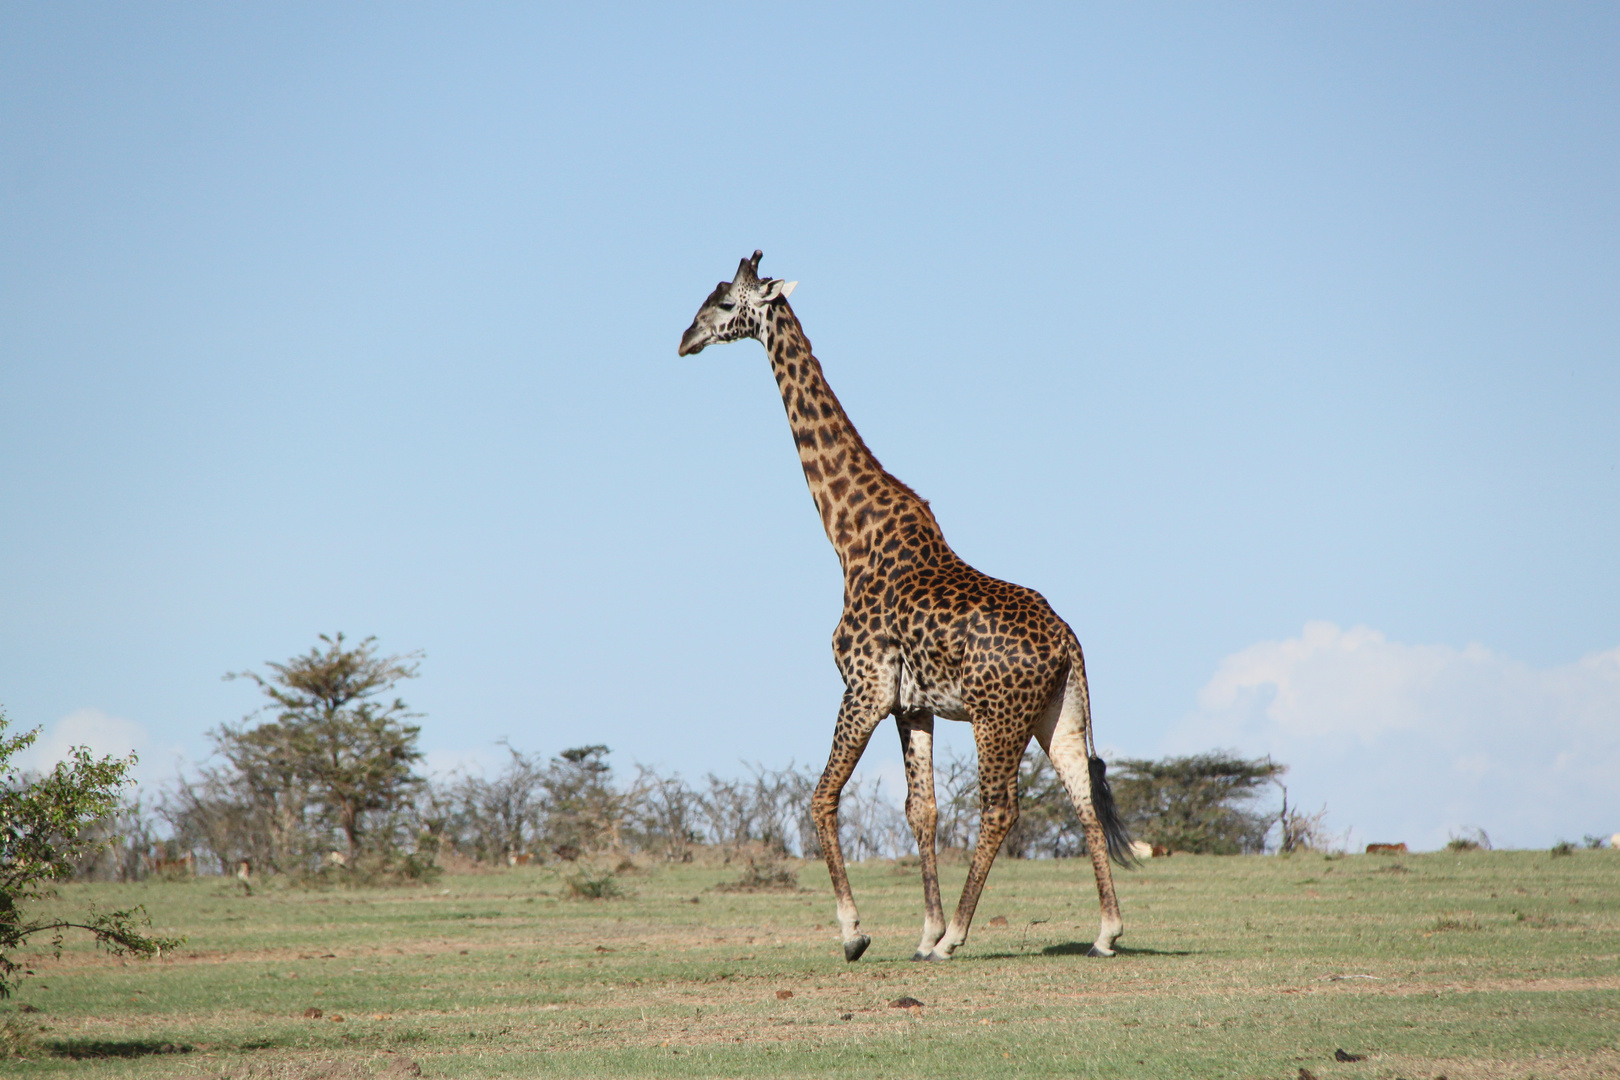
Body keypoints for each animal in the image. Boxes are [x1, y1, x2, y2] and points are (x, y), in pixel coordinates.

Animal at [677, 254, 1134, 965]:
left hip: (996, 717)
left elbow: (821, 796)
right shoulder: (910, 704)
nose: (684, 339)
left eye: (725, 303)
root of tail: (1068, 643)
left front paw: (857, 932)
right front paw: (921, 933)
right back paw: (1105, 931)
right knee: (1084, 798)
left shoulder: (863, 685)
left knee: (1000, 807)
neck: (849, 535)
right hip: (1058, 711)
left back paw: (960, 938)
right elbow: (923, 810)